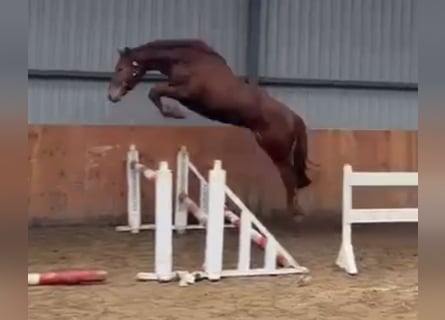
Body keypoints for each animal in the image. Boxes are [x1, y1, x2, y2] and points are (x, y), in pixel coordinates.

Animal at [106, 38, 310, 221]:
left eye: (120, 68)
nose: (111, 96)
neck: (188, 62)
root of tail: (293, 117)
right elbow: (156, 92)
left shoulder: (186, 92)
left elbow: (155, 91)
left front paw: (175, 114)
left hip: (277, 152)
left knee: (289, 177)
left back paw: (296, 213)